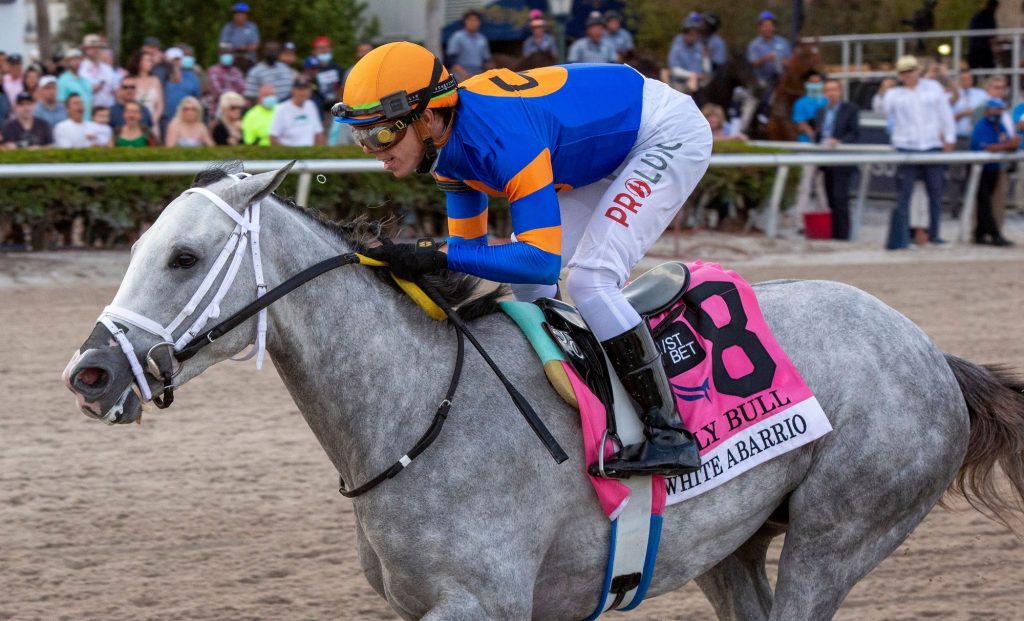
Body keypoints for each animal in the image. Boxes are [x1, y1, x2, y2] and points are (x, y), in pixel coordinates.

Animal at [63, 162, 1024, 620]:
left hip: (840, 534)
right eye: (143, 245)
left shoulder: (484, 602)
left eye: (184, 256)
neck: (419, 413)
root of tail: (933, 352)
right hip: (730, 543)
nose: (90, 371)